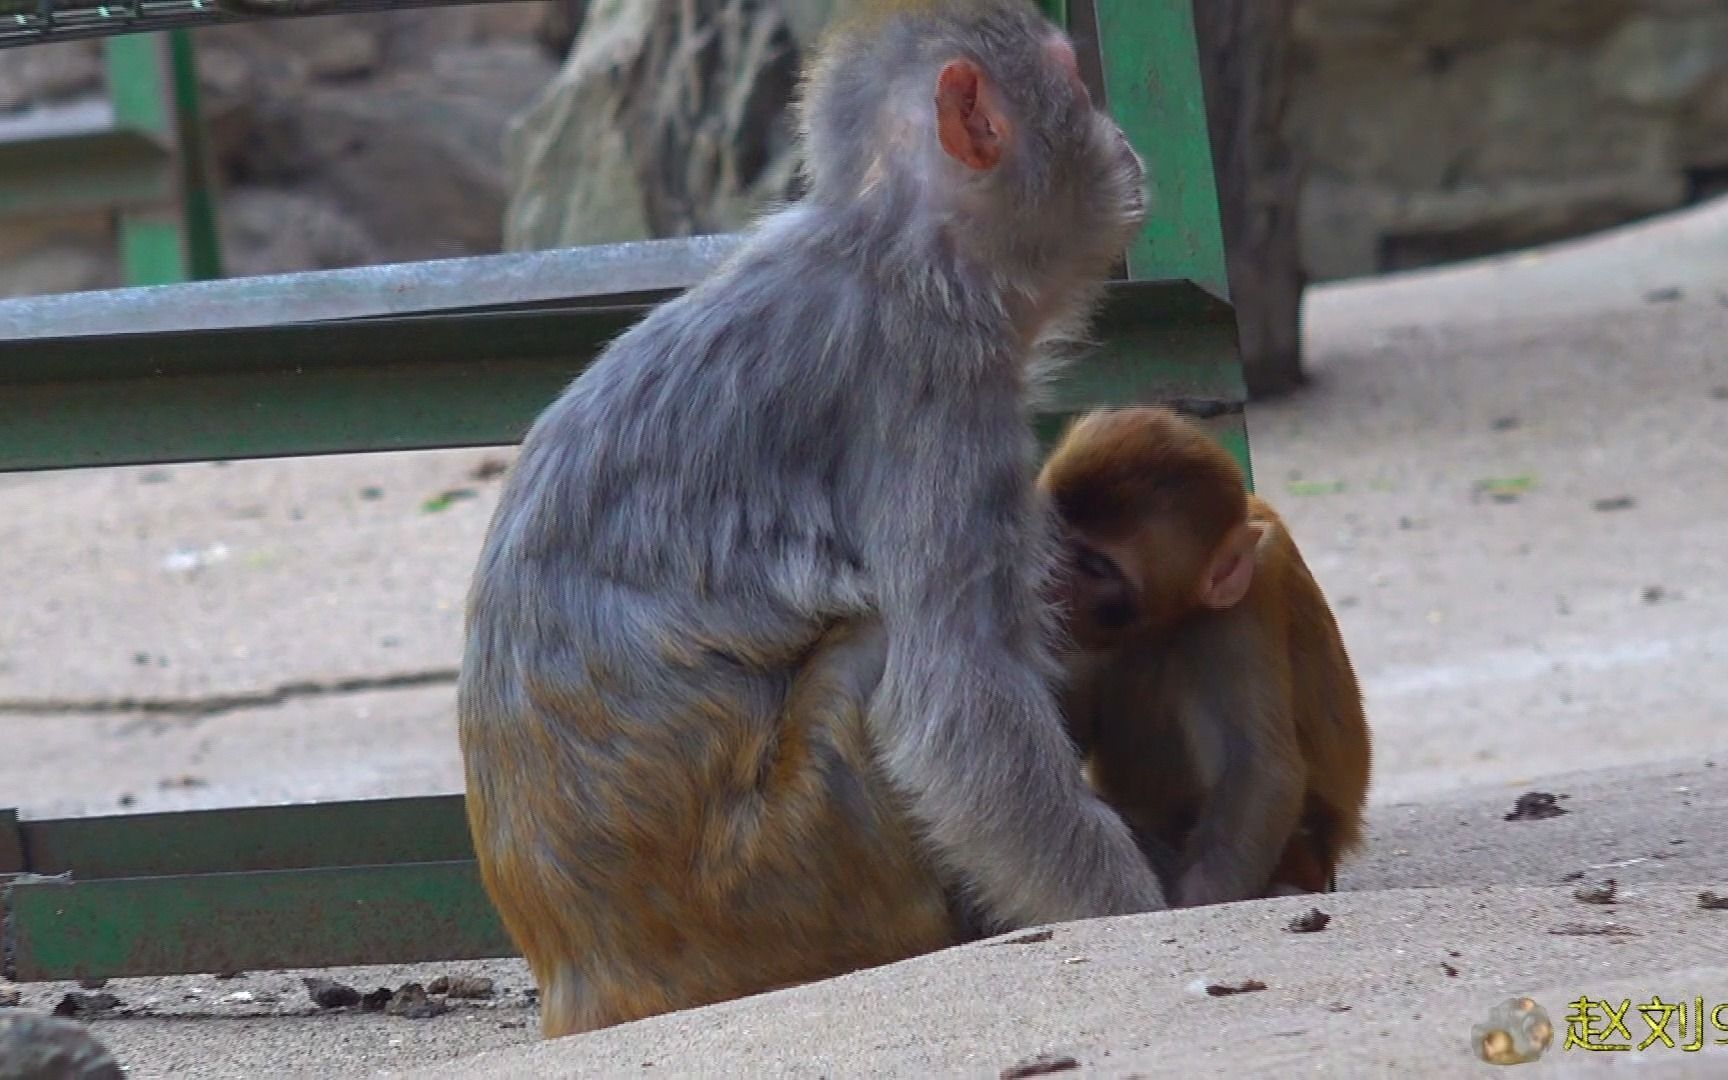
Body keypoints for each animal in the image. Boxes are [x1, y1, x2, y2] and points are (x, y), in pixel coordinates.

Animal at [459, 2, 1168, 1043]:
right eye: (1074, 87)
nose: (1125, 146)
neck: (895, 248)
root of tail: (579, 979)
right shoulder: (937, 397)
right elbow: (953, 701)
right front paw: (1131, 912)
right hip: (778, 879)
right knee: (871, 654)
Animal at [1036, 407, 1375, 905]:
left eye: (1097, 566)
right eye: (1052, 532)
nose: (1044, 572)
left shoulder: (1236, 612)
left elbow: (1257, 769)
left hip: (1302, 856)